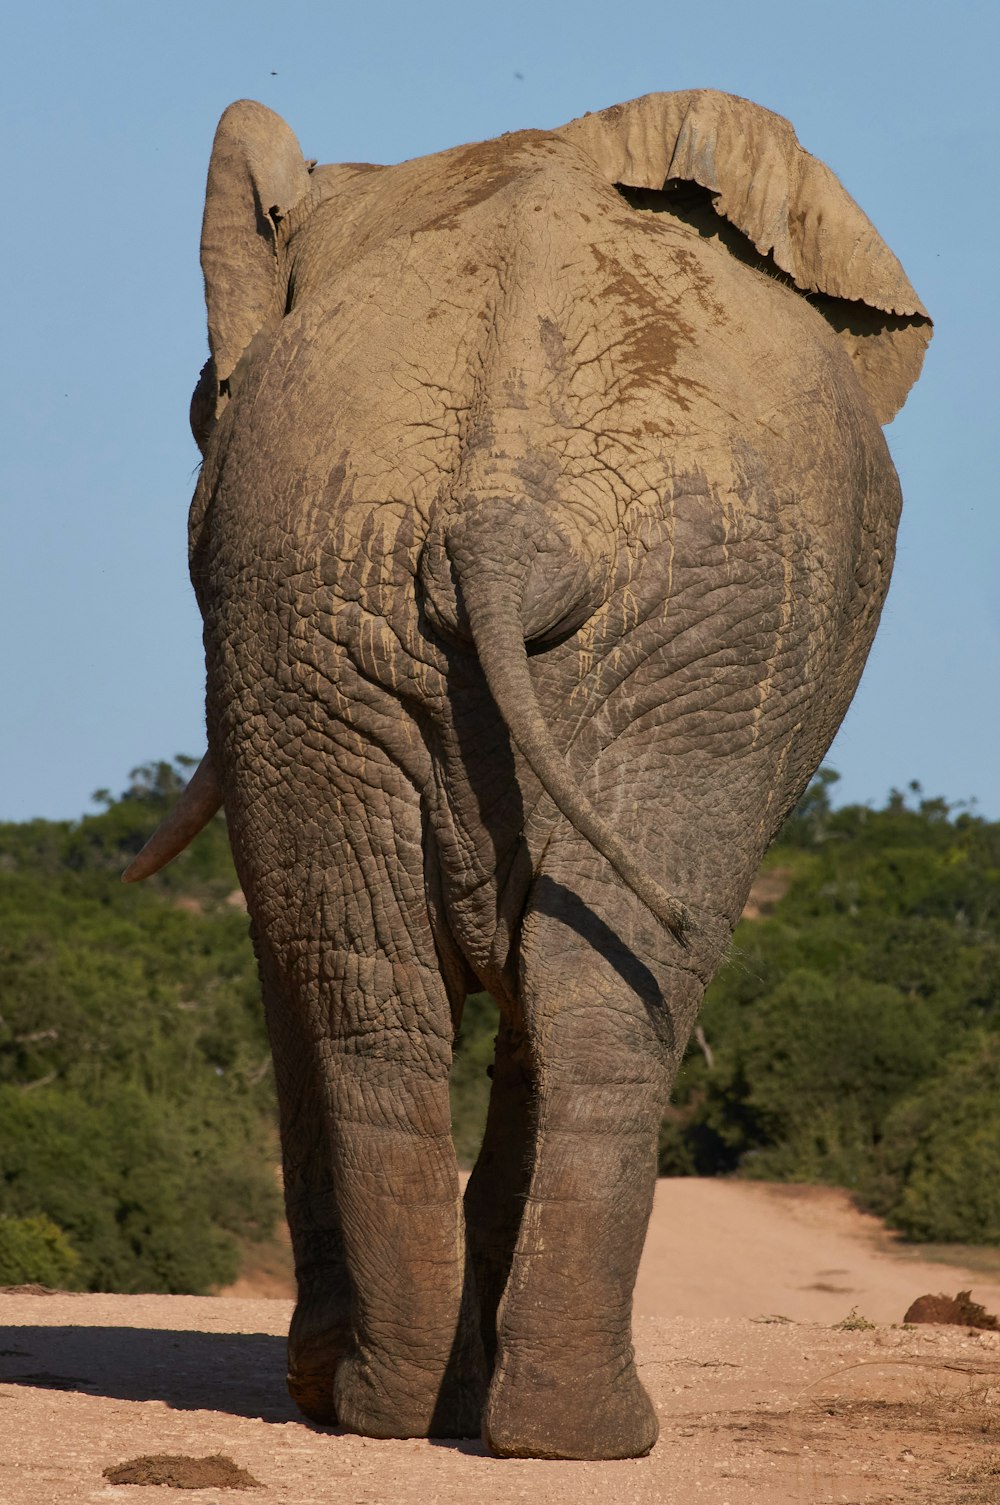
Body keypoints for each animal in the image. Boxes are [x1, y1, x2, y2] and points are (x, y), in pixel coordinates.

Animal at [128, 91, 933, 1456]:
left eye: (195, 410)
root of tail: (501, 513)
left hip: (419, 597)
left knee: (435, 986)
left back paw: (435, 1410)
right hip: (399, 599)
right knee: (510, 991)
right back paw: (515, 1419)